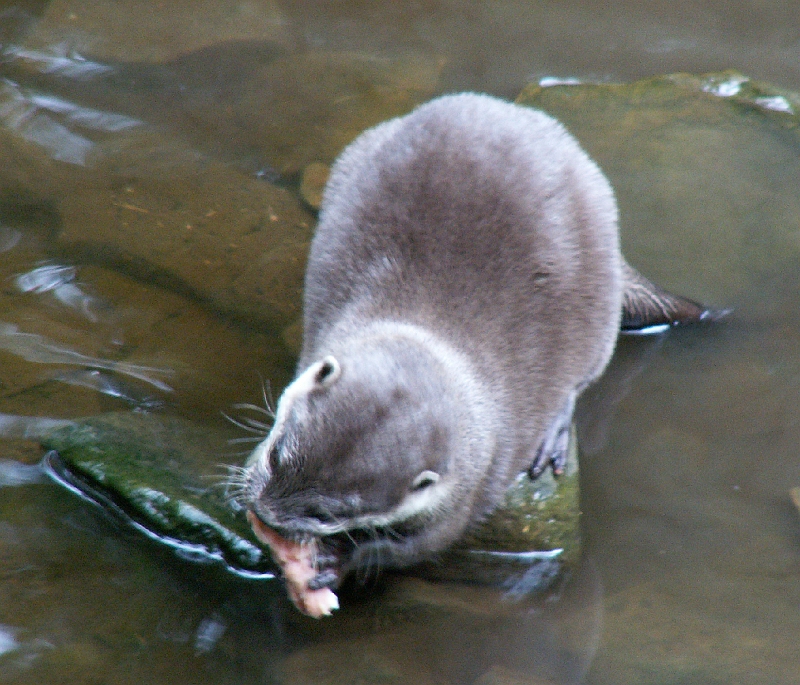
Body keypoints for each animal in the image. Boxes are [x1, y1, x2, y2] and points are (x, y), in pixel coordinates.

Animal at [241, 92, 716, 616]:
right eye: (279, 455)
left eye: (327, 513)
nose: (264, 512)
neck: (429, 334)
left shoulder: (468, 484)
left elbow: (421, 546)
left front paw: (340, 562)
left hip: (598, 283)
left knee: (583, 373)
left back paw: (554, 433)